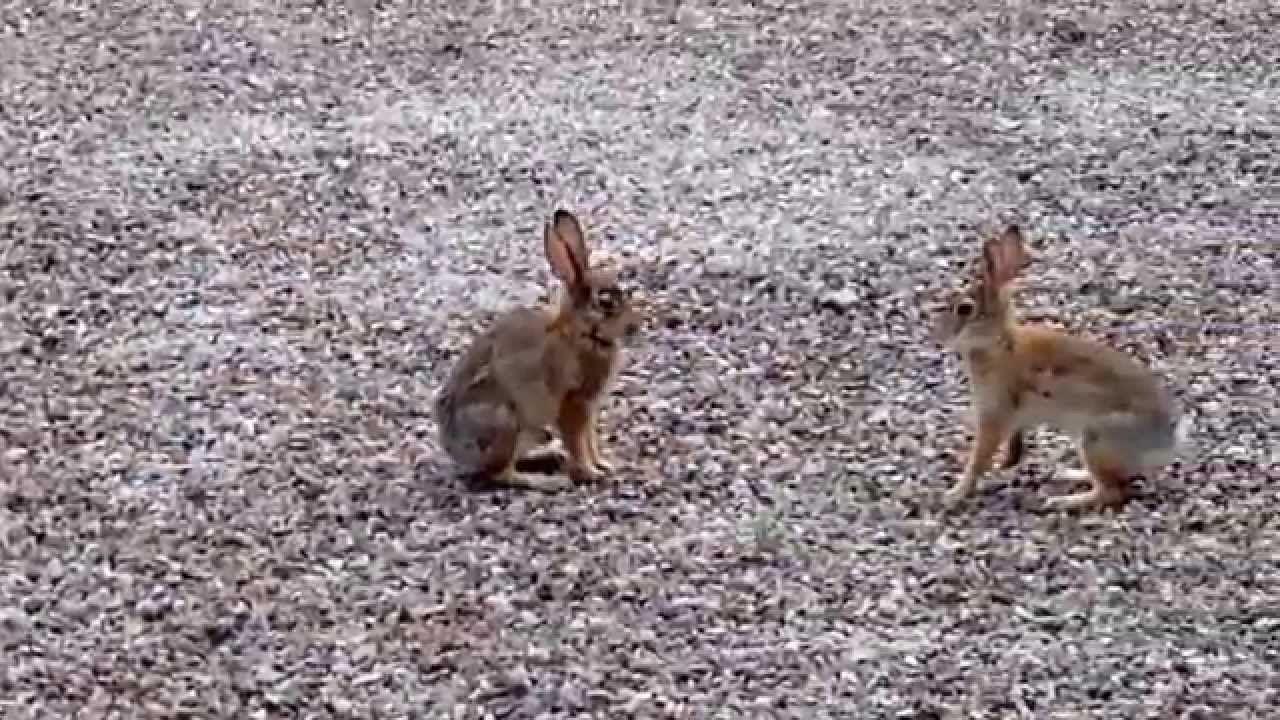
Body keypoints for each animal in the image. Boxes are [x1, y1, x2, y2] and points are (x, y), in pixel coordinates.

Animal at [435, 207, 645, 486]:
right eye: (605, 302)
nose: (635, 325)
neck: (580, 332)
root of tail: (454, 449)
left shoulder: (589, 409)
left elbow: (590, 439)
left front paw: (604, 465)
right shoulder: (574, 403)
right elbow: (579, 443)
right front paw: (592, 472)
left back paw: (551, 455)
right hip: (507, 425)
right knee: (502, 474)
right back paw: (548, 482)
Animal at [931, 224, 1187, 509]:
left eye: (964, 309)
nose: (937, 335)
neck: (1000, 343)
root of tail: (1169, 439)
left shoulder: (995, 414)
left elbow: (979, 459)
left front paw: (954, 494)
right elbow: (1013, 448)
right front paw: (1003, 466)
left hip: (1096, 438)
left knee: (1113, 491)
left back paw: (1062, 501)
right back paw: (1069, 474)